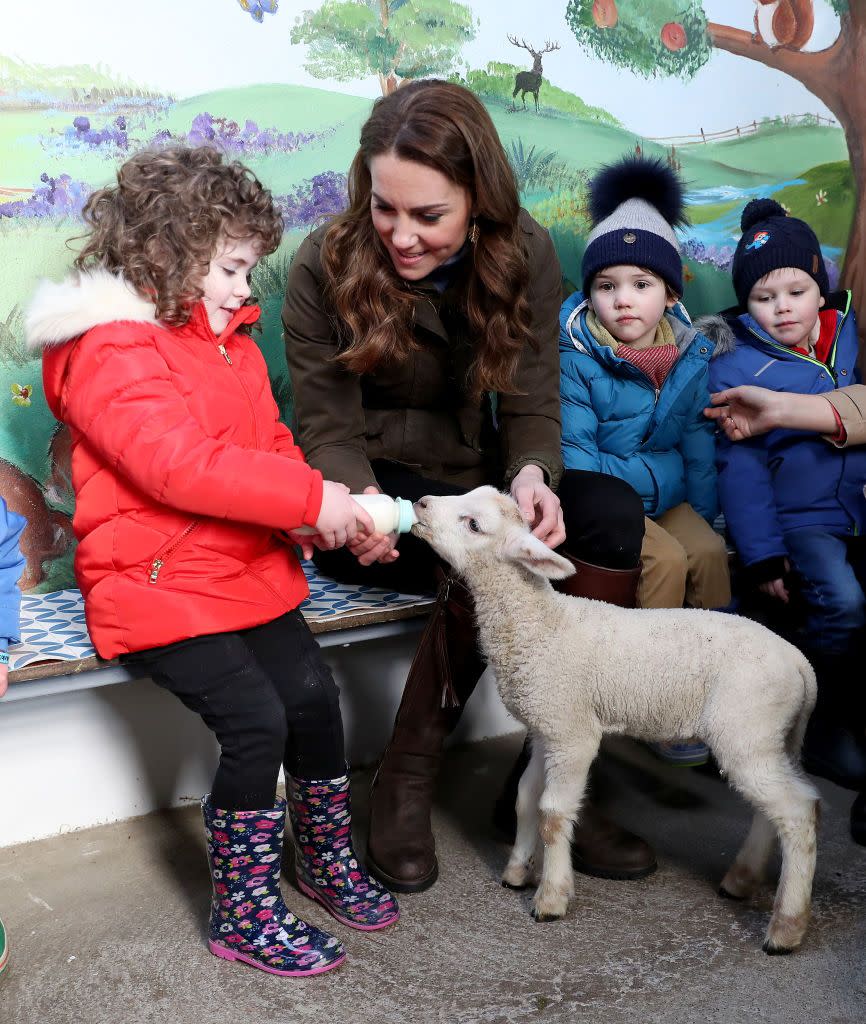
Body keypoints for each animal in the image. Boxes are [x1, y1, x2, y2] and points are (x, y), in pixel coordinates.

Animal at [411, 485, 818, 950]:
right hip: (769, 736)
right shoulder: (546, 726)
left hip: (748, 726)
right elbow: (526, 797)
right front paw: (517, 870)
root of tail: (800, 662)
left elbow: (553, 813)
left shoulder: (572, 733)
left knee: (798, 811)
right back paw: (742, 880)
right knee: (775, 809)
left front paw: (551, 897)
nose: (421, 503)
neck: (538, 624)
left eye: (474, 525)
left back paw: (786, 927)